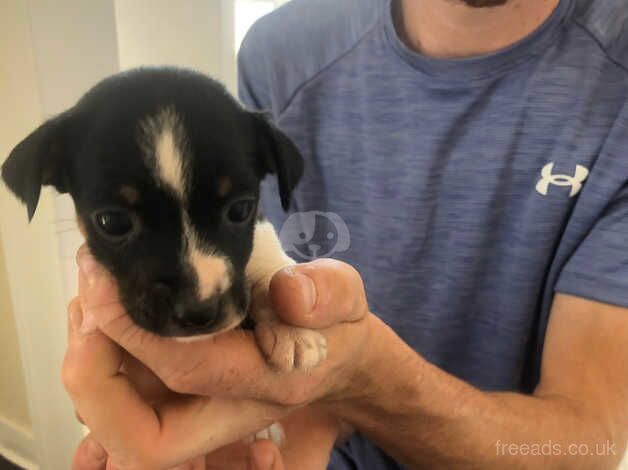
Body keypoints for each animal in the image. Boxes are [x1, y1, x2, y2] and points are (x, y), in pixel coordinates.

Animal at [3, 66, 328, 372]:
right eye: (112, 222)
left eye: (240, 210)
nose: (198, 311)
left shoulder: (262, 235)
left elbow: (271, 268)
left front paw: (292, 331)